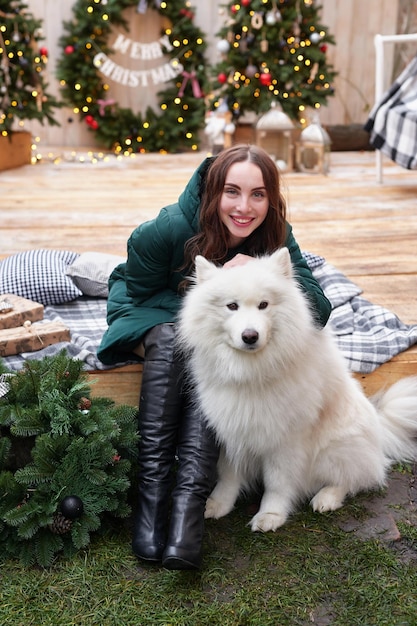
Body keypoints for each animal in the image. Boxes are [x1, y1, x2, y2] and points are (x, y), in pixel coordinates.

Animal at [177, 249, 416, 532]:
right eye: (231, 306)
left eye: (264, 305)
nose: (250, 336)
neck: (251, 372)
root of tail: (379, 430)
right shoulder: (233, 430)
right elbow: (228, 475)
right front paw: (217, 504)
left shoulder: (286, 439)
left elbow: (277, 483)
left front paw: (271, 515)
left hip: (334, 450)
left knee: (356, 477)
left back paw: (327, 498)